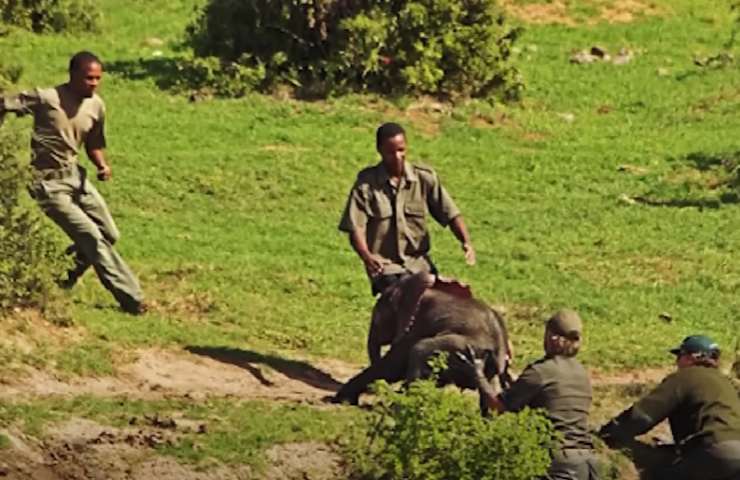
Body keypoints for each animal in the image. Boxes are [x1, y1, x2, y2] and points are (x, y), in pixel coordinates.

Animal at [332, 286, 512, 406]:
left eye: (376, 320)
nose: (375, 390)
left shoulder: (414, 327)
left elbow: (392, 367)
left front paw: (341, 399)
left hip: (461, 347)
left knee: (419, 349)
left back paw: (400, 402)